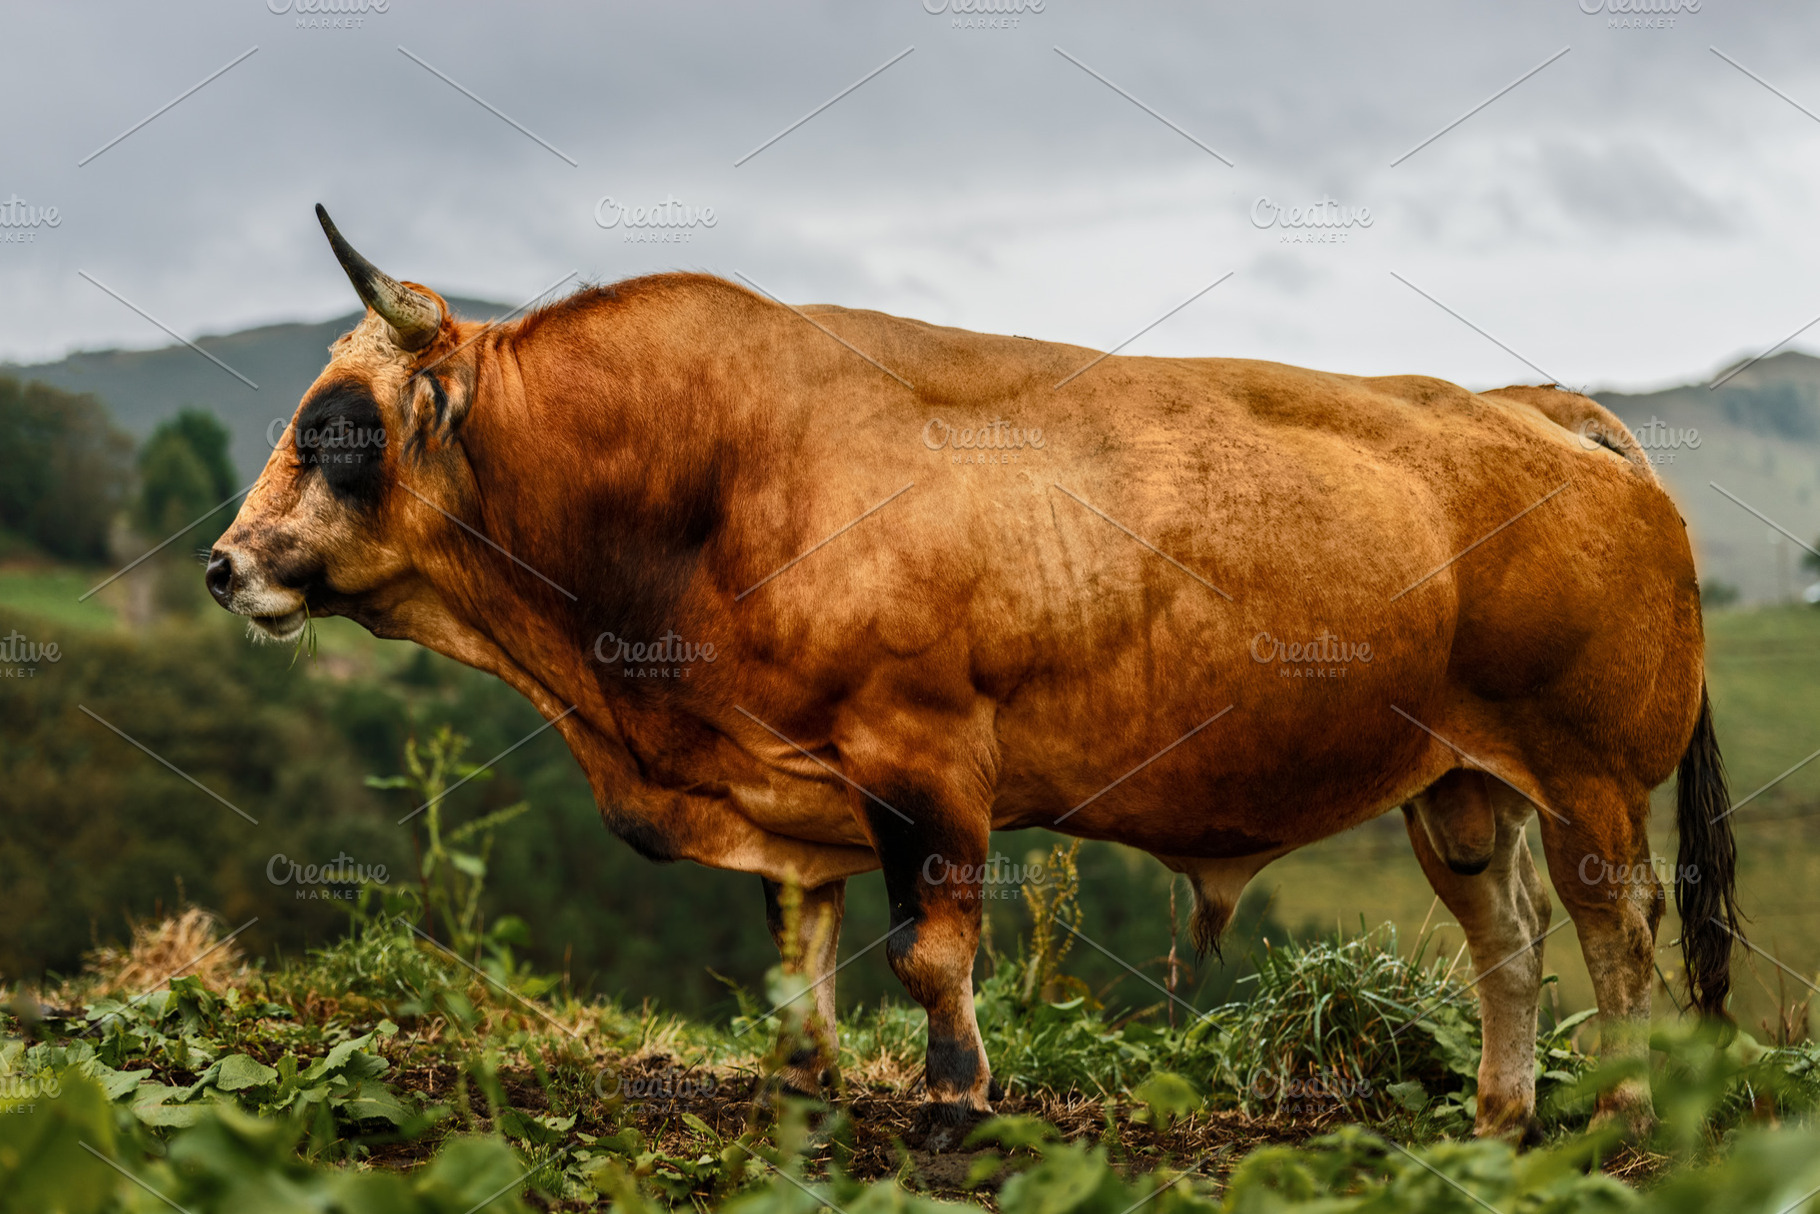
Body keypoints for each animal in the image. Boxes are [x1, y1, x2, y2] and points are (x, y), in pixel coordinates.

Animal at [207, 206, 1739, 1146]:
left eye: (337, 425)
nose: (224, 564)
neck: (718, 469)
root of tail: (1533, 408)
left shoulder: (927, 760)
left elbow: (929, 950)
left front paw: (953, 1100)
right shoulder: (789, 787)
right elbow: (800, 958)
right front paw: (806, 1087)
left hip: (1592, 779)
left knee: (1620, 935)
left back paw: (1617, 1120)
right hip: (1463, 788)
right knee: (1511, 943)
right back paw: (1497, 1120)